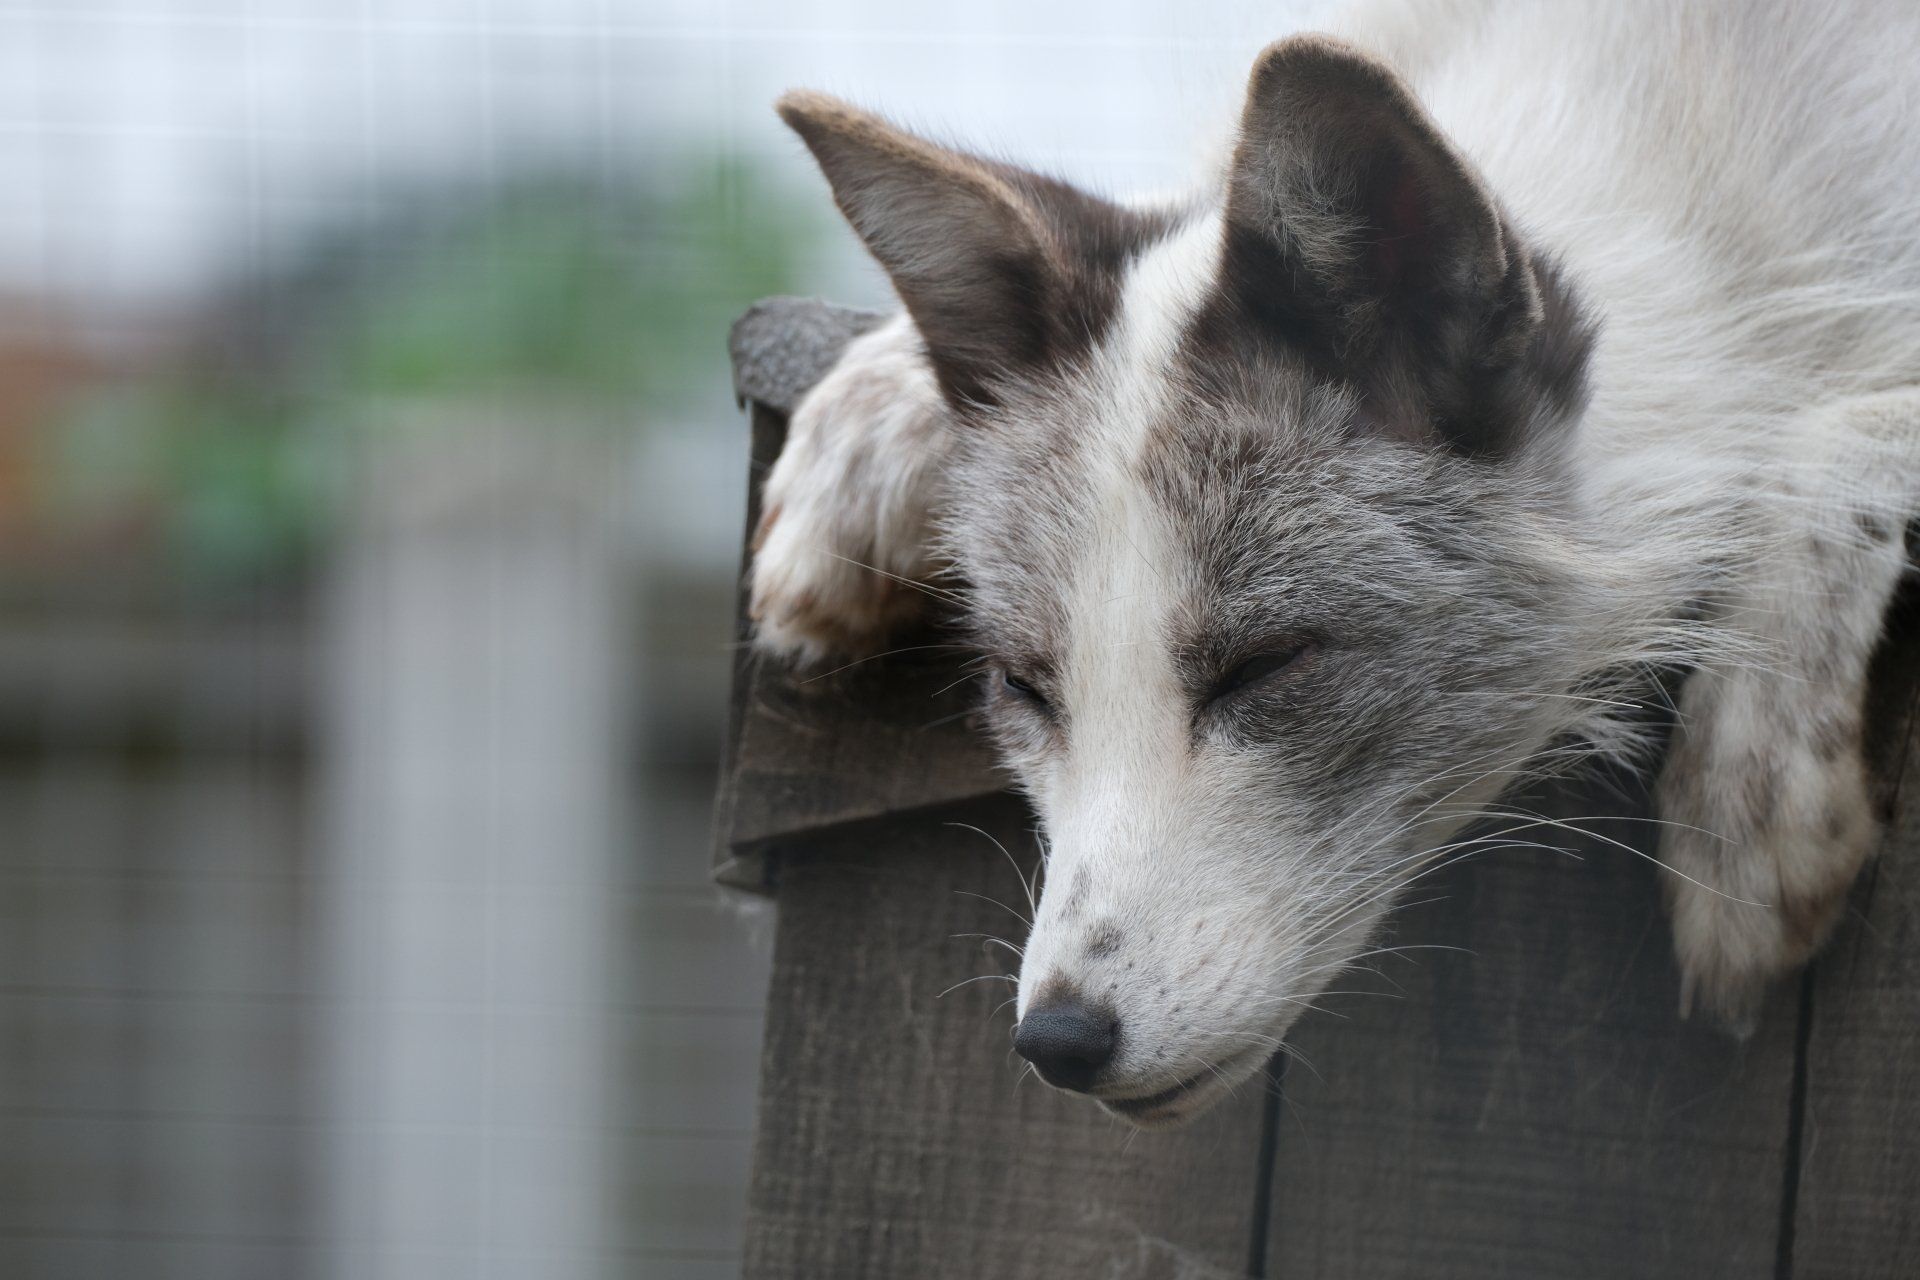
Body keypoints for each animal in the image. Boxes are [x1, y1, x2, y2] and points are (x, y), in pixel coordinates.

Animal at [746, 0, 1920, 1127]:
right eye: (1024, 688)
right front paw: (865, 423)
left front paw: (1749, 792)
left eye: (1265, 666)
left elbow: (1858, 426)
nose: (1062, 1042)